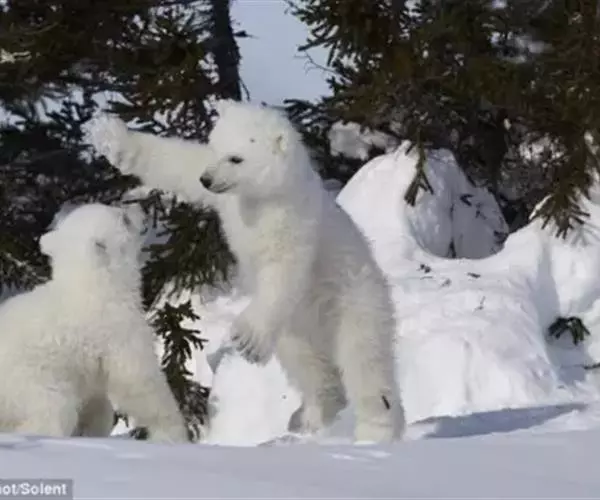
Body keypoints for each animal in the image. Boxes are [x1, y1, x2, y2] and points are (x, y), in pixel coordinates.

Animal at [0, 203, 188, 443]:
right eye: (124, 218)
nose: (138, 207)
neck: (90, 287)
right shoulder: (118, 330)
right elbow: (138, 381)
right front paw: (172, 431)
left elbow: (97, 402)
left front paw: (93, 429)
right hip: (29, 382)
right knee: (53, 411)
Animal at [84, 101, 404, 443]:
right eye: (216, 148)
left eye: (236, 158)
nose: (207, 179)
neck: (263, 198)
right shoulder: (229, 201)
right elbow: (178, 162)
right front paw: (108, 135)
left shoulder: (293, 219)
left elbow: (282, 271)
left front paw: (247, 338)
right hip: (297, 333)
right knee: (311, 368)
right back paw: (317, 416)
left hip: (355, 304)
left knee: (366, 365)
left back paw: (376, 429)